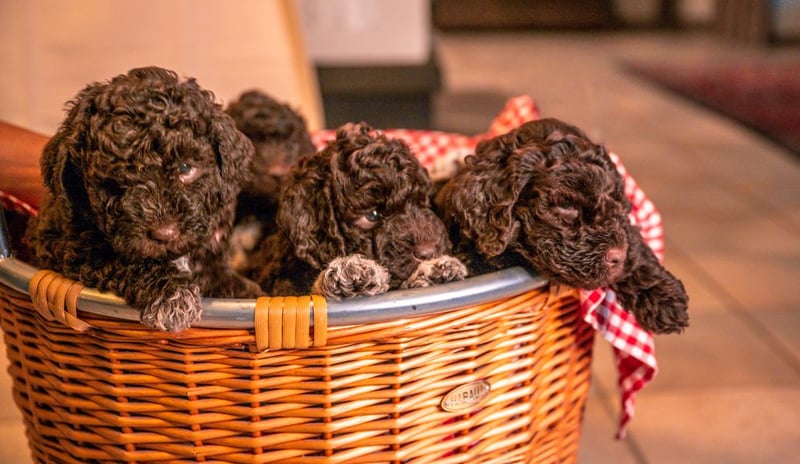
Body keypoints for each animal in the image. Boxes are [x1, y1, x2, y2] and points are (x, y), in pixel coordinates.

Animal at [26, 66, 263, 332]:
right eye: (111, 182)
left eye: (186, 168)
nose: (165, 234)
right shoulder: (70, 246)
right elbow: (127, 262)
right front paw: (173, 295)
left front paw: (246, 292)